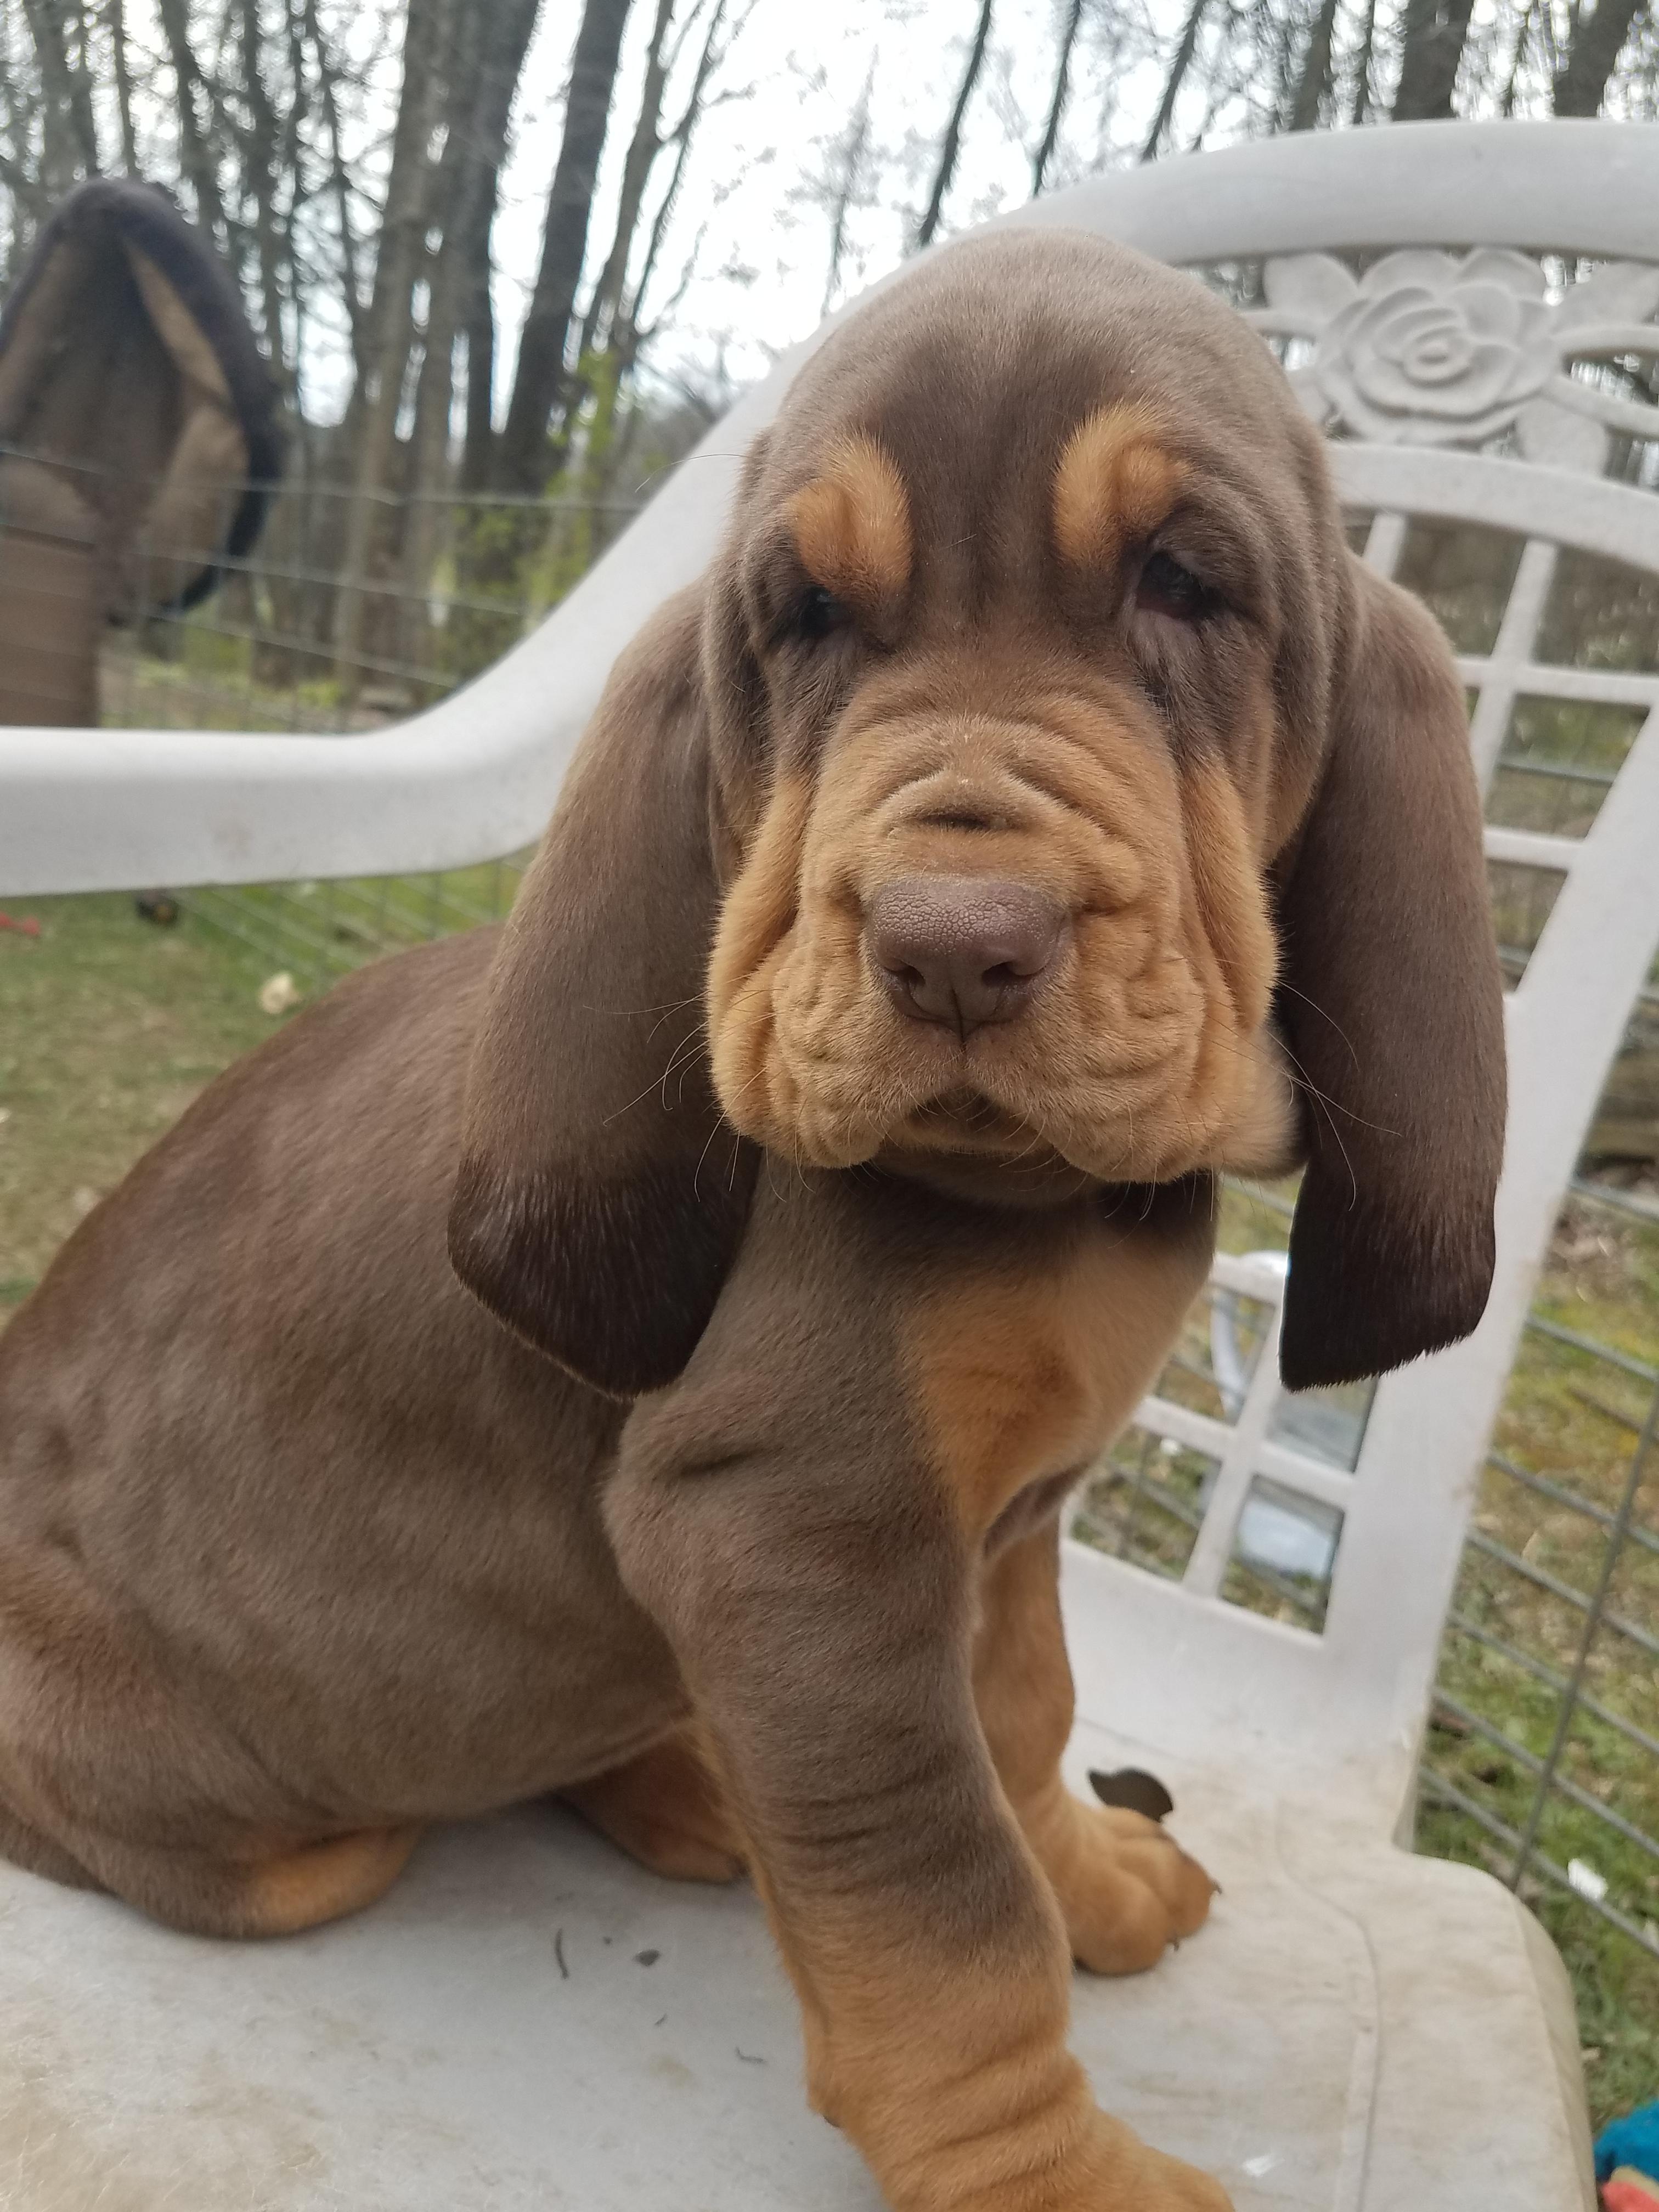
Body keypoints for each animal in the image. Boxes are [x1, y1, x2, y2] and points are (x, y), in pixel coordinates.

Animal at [0, 230, 1505, 2212]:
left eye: (1185, 583)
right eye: (803, 616)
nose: (953, 945)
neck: (1038, 1205)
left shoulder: (1002, 1535)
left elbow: (1025, 1729)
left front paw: (1091, 1877)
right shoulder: (802, 1538)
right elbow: (944, 1908)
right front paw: (1055, 2174)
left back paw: (689, 1776)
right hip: (269, 1833)